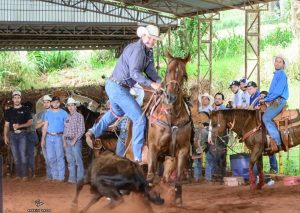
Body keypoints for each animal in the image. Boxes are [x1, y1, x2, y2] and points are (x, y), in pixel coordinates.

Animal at [147, 53, 192, 205]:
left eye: (184, 75)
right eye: (167, 71)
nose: (171, 96)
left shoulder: (183, 150)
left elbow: (177, 178)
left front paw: (177, 198)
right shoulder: (153, 147)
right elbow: (150, 176)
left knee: (165, 178)